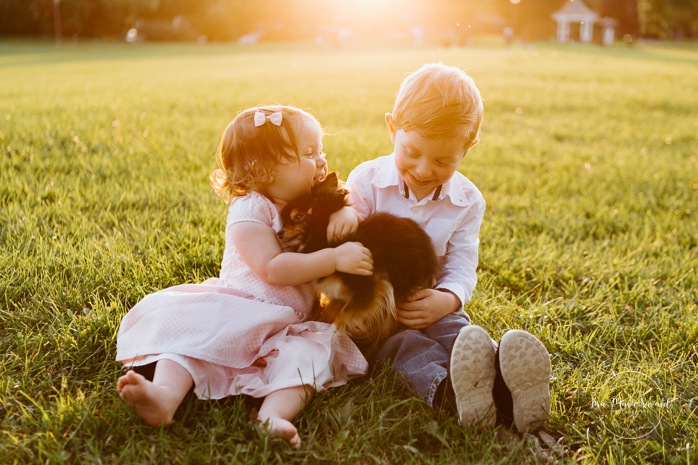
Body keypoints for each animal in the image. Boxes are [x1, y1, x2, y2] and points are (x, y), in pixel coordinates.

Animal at [278, 172, 436, 350]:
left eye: (299, 217)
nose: (279, 233)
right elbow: (330, 313)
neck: (326, 242)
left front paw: (329, 335)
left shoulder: (371, 289)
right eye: (283, 222)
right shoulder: (340, 297)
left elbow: (341, 318)